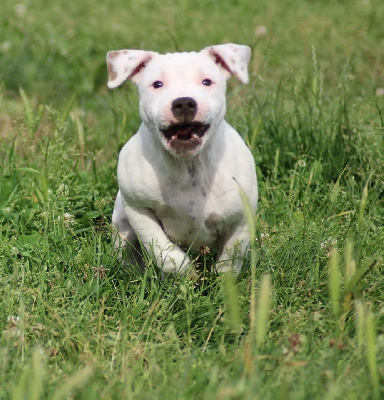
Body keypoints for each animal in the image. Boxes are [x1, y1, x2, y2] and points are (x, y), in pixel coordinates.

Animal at [107, 43, 258, 276]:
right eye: (157, 84)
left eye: (207, 81)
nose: (184, 102)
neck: (189, 166)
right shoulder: (138, 207)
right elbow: (162, 249)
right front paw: (185, 271)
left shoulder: (241, 218)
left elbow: (230, 261)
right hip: (122, 225)